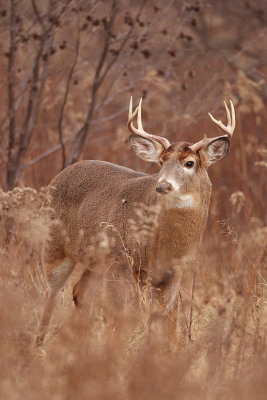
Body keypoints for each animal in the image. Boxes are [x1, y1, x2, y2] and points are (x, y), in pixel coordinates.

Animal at [35, 96, 237, 344]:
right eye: (161, 162)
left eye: (189, 163)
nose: (162, 185)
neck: (165, 247)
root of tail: (62, 173)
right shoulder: (122, 262)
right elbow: (124, 315)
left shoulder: (173, 274)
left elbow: (168, 319)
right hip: (55, 245)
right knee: (53, 291)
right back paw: (39, 343)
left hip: (95, 263)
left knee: (79, 292)